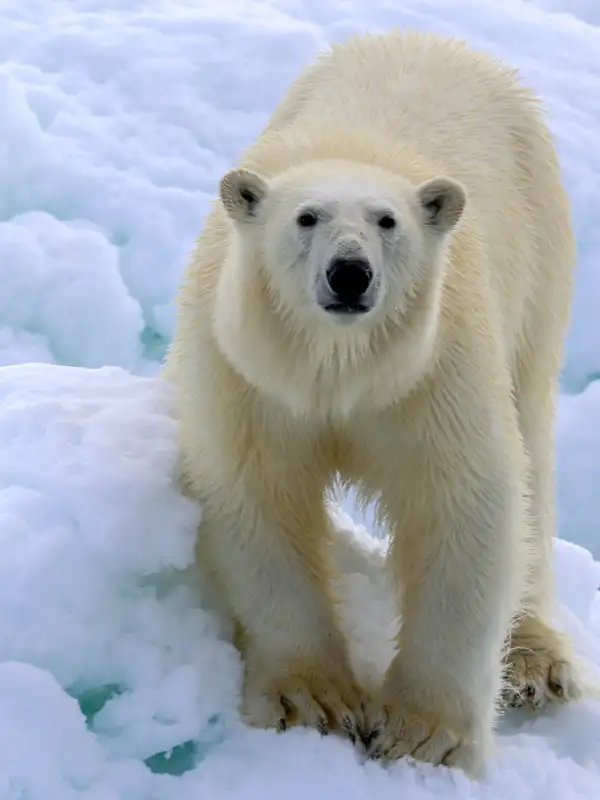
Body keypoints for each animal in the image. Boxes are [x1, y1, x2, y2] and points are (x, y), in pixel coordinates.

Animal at [164, 29, 585, 776]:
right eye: (306, 217)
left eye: (388, 221)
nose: (350, 273)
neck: (339, 374)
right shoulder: (247, 380)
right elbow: (256, 500)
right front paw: (314, 701)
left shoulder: (435, 374)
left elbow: (465, 505)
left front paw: (425, 736)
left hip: (540, 252)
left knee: (533, 436)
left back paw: (537, 661)